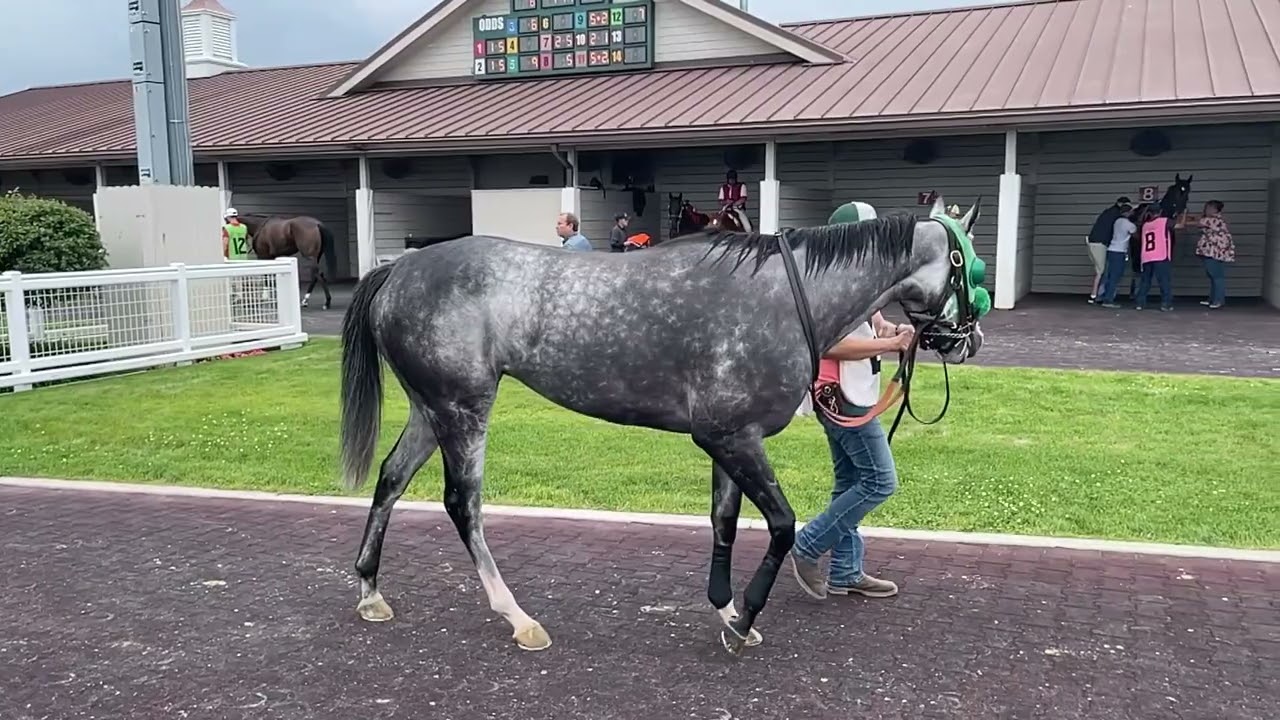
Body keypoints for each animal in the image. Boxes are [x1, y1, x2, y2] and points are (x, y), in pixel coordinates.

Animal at [336, 193, 987, 656]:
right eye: (973, 268)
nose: (968, 340)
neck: (784, 296)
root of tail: (399, 271)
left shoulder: (732, 438)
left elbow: (725, 522)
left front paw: (725, 608)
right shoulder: (730, 437)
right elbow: (780, 524)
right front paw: (744, 618)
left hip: (431, 408)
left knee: (391, 479)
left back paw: (370, 591)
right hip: (464, 407)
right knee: (461, 502)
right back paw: (518, 618)